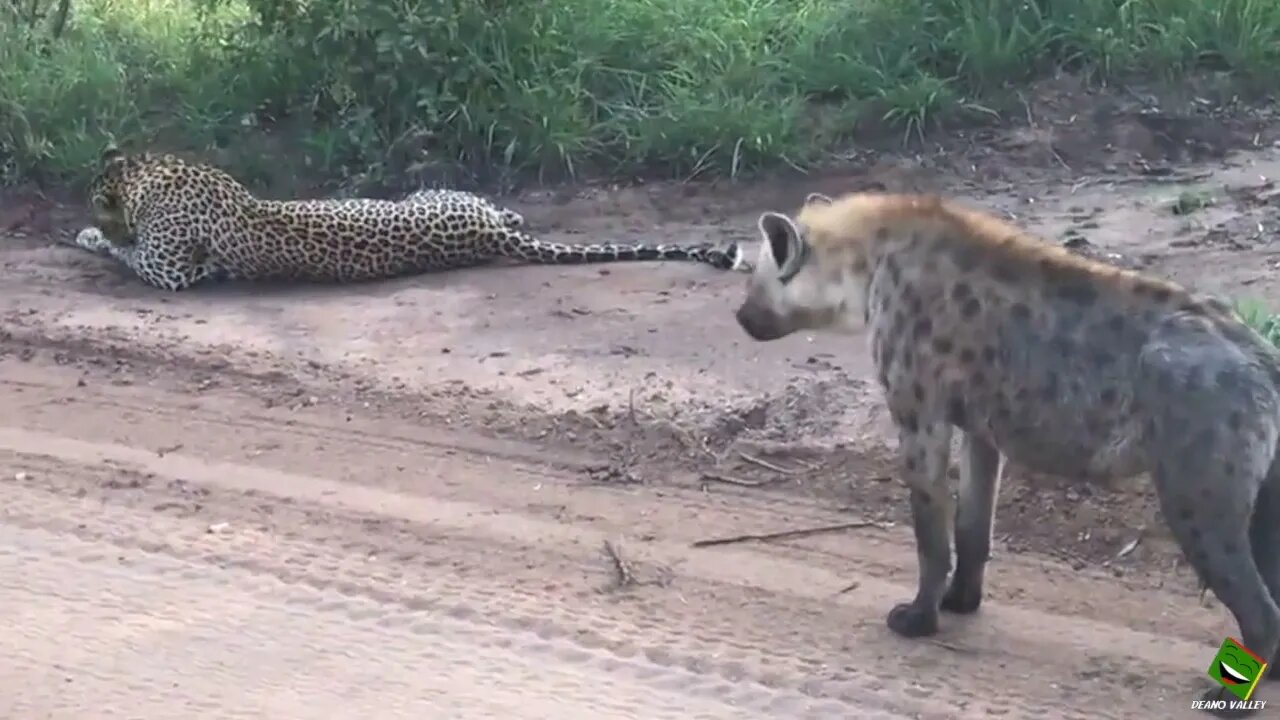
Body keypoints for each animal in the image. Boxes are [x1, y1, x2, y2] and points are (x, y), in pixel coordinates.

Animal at [732, 189, 1280, 712]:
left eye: (753, 279)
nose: (739, 317)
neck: (869, 267)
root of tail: (1261, 353)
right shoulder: (980, 426)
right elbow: (973, 525)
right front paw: (960, 601)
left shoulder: (919, 413)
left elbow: (930, 531)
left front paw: (917, 618)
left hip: (1198, 480)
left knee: (1254, 595)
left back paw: (1233, 697)